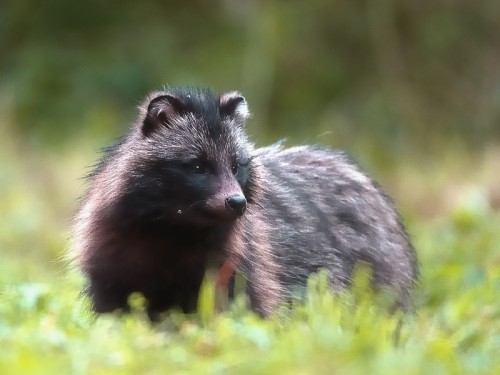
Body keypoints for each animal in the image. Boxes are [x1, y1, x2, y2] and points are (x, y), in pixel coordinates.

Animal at [72, 86, 418, 318]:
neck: (175, 228)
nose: (237, 202)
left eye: (236, 165)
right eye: (198, 166)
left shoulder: (240, 266)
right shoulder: (111, 263)